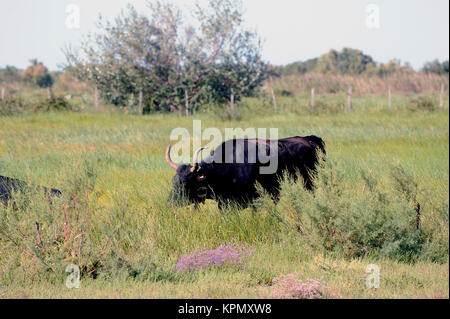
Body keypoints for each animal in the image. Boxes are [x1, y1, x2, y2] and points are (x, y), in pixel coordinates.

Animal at [165, 136, 324, 209]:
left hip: (309, 182)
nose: (170, 202)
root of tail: (308, 140)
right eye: (174, 181)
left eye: (185, 182)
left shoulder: (252, 198)